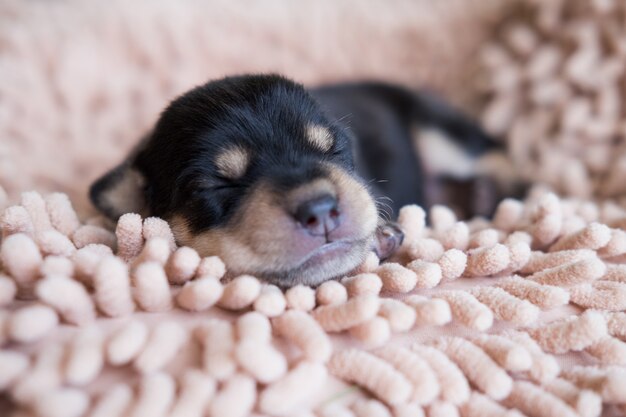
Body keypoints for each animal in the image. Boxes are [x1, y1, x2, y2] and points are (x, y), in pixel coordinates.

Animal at [89, 74, 516, 286]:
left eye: (333, 149)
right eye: (216, 186)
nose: (321, 210)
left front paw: (380, 234)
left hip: (440, 133)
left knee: (500, 154)